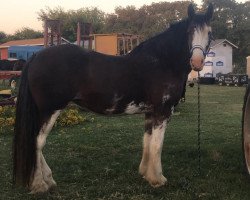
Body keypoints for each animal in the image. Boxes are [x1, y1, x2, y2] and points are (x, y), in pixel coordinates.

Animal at [13, 3, 213, 193]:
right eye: (189, 31)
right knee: (37, 142)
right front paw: (158, 179)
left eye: (209, 33)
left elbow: (147, 142)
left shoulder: (150, 113)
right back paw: (40, 184)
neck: (162, 62)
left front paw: (146, 174)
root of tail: (36, 56)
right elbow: (157, 145)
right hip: (49, 110)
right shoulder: (162, 111)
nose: (197, 62)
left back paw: (48, 180)